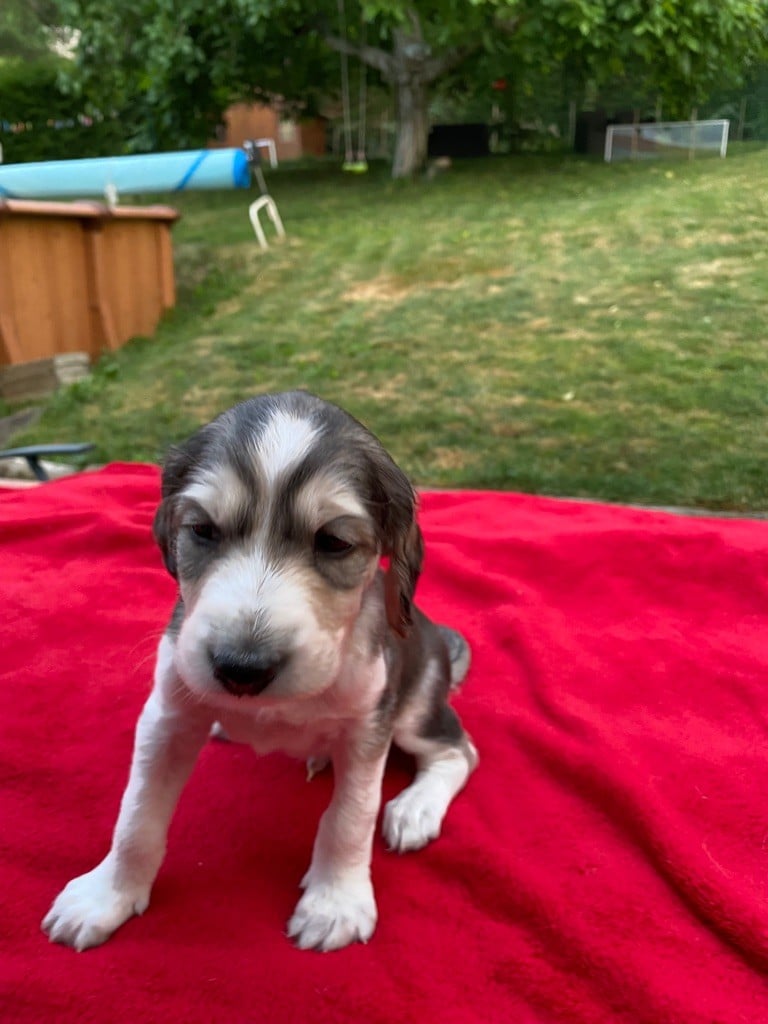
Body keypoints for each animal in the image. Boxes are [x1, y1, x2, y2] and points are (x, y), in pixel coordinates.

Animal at [42, 390, 478, 952]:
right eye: (203, 531)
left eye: (334, 542)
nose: (241, 670)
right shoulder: (168, 715)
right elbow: (136, 815)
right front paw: (106, 896)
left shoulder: (368, 726)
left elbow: (350, 816)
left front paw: (335, 902)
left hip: (414, 709)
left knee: (458, 751)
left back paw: (414, 807)